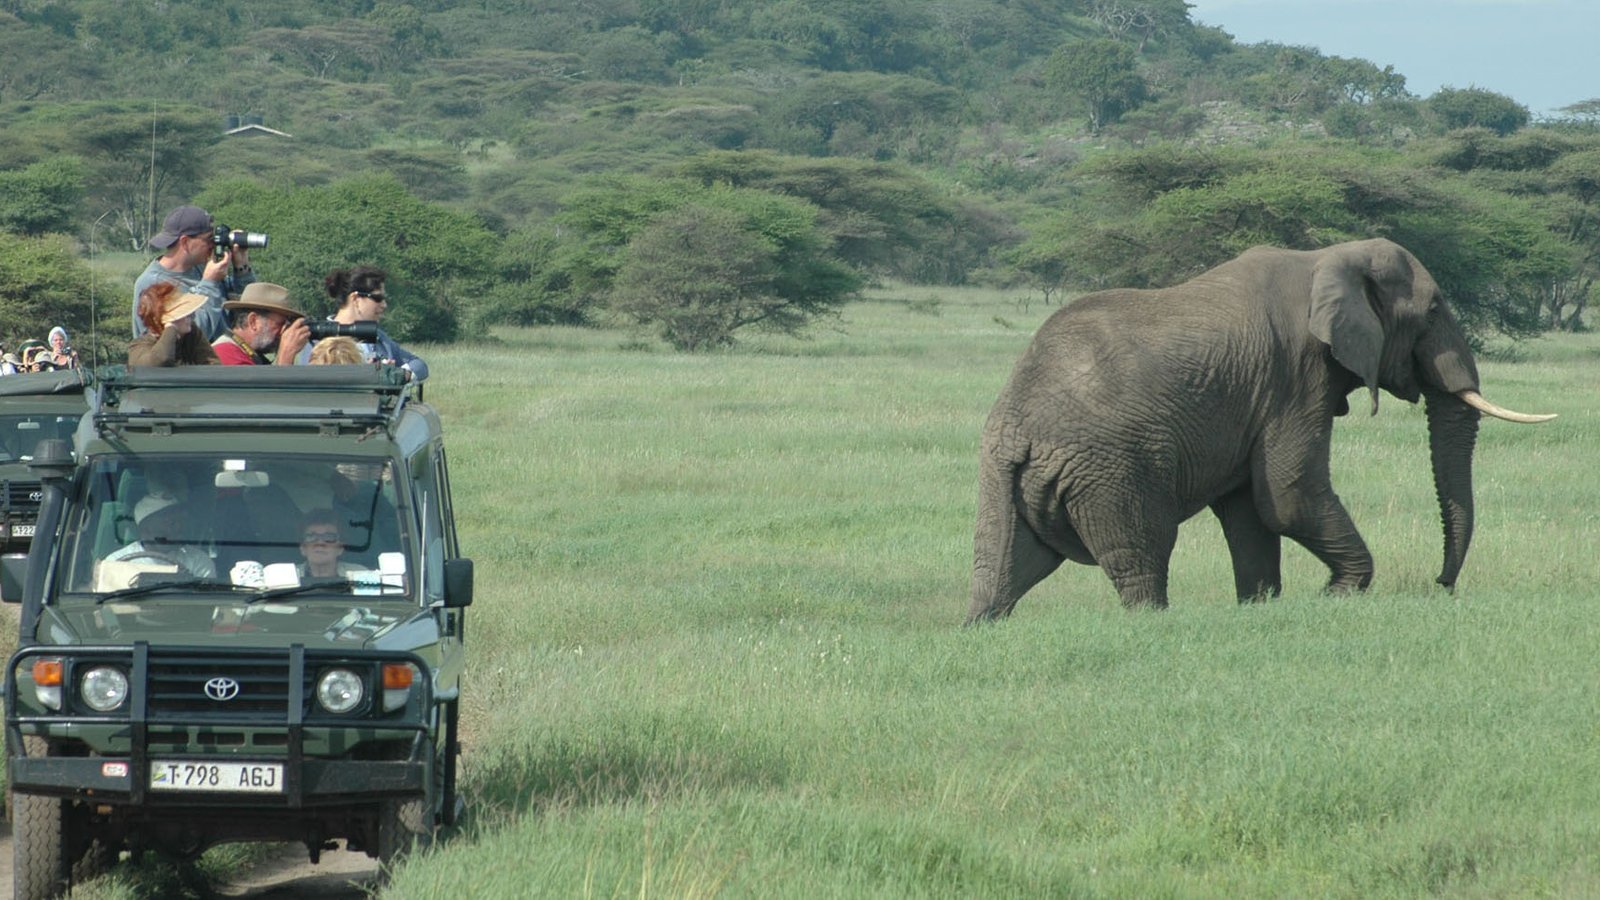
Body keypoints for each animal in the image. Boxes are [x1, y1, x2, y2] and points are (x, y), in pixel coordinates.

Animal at [966, 235, 1555, 621]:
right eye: (1433, 311)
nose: (1442, 584)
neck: (1325, 258)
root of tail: (1018, 432)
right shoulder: (1296, 374)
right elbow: (1287, 494)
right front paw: (1339, 594)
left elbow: (1250, 509)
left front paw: (1259, 607)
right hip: (1111, 470)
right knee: (1142, 553)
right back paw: (1151, 621)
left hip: (1007, 479)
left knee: (1004, 566)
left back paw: (982, 625)